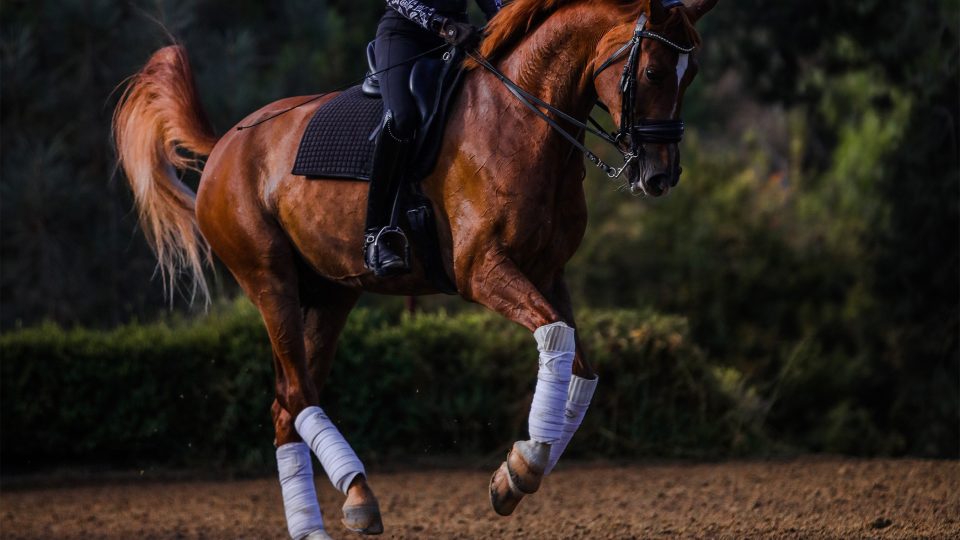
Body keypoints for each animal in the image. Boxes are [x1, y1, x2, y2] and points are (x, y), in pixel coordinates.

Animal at [113, 0, 717, 537]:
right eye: (654, 71)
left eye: (690, 76)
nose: (661, 177)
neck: (524, 120)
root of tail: (225, 145)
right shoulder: (481, 269)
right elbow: (556, 338)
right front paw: (522, 469)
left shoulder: (548, 273)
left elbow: (580, 369)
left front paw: (513, 474)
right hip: (269, 282)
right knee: (298, 395)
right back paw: (360, 496)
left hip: (332, 295)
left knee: (287, 406)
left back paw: (320, 524)